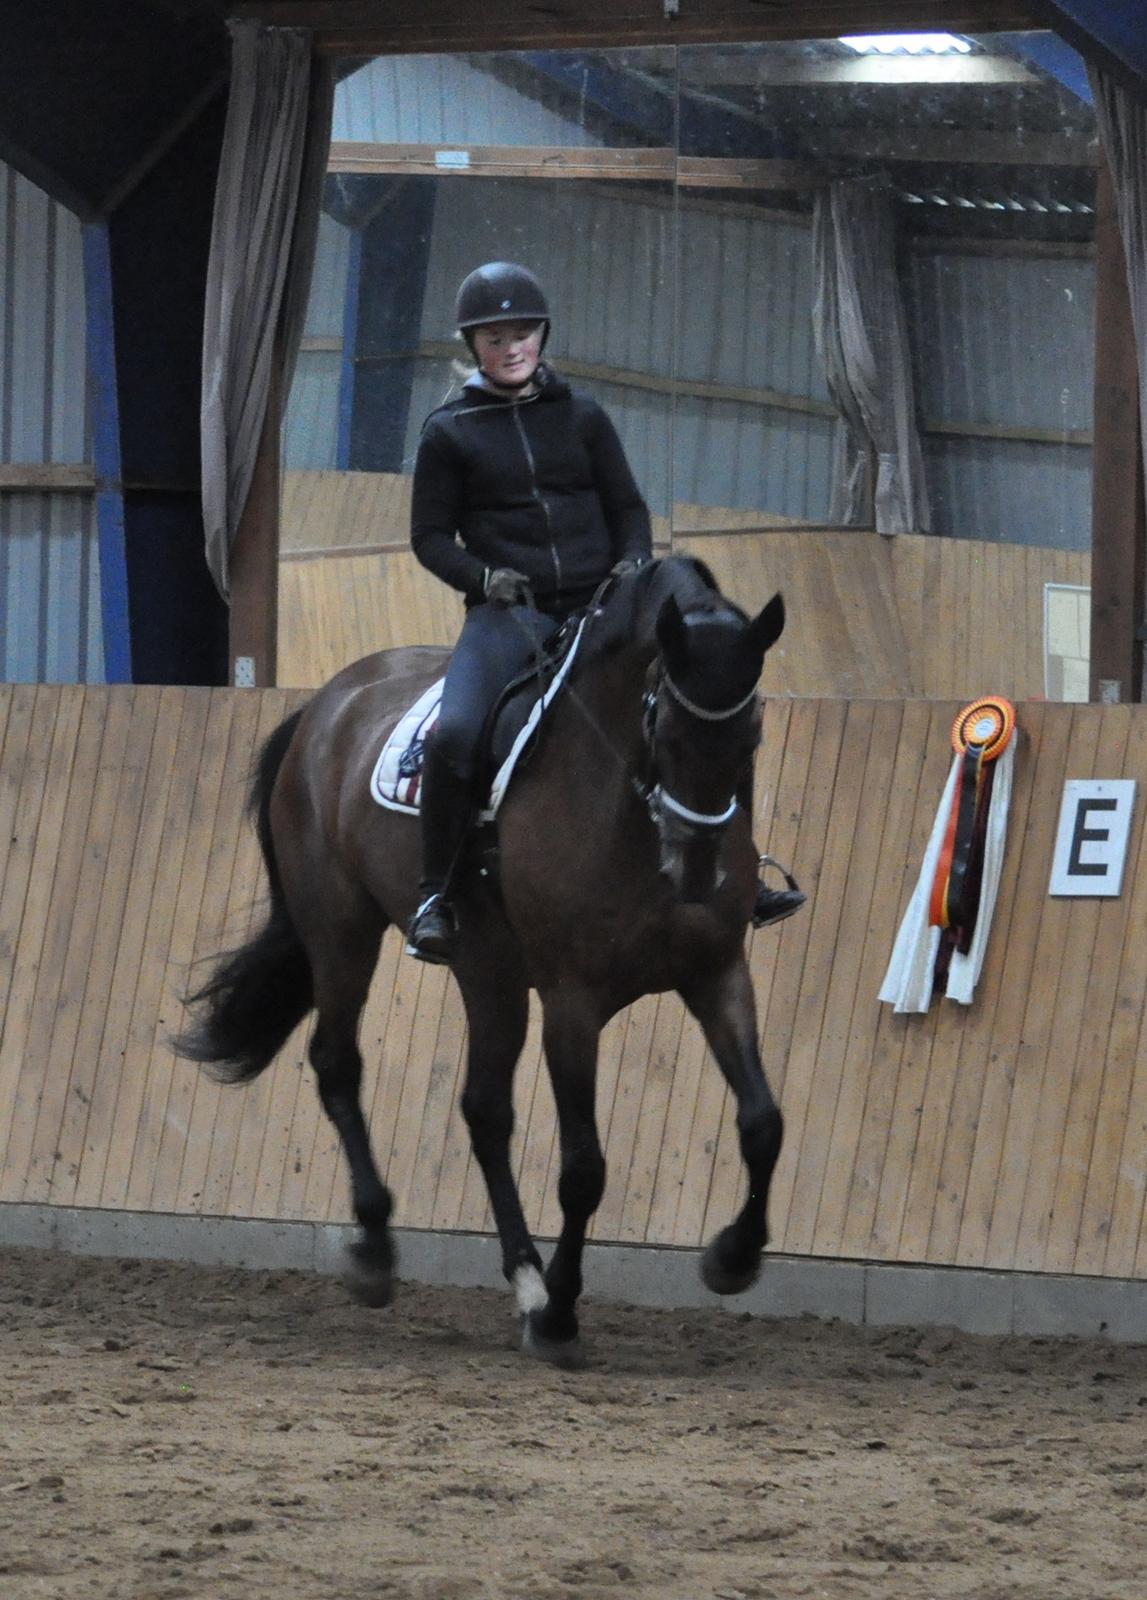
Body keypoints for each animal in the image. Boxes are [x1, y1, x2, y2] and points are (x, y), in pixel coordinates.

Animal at [176, 556, 787, 1369]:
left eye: (751, 734)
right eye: (663, 725)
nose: (695, 875)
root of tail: (324, 705)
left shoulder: (716, 973)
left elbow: (762, 1123)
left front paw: (732, 1259)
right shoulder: (571, 1001)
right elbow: (583, 1169)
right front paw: (561, 1315)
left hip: (488, 972)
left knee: (483, 1110)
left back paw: (523, 1279)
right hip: (343, 932)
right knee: (338, 1063)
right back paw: (379, 1250)